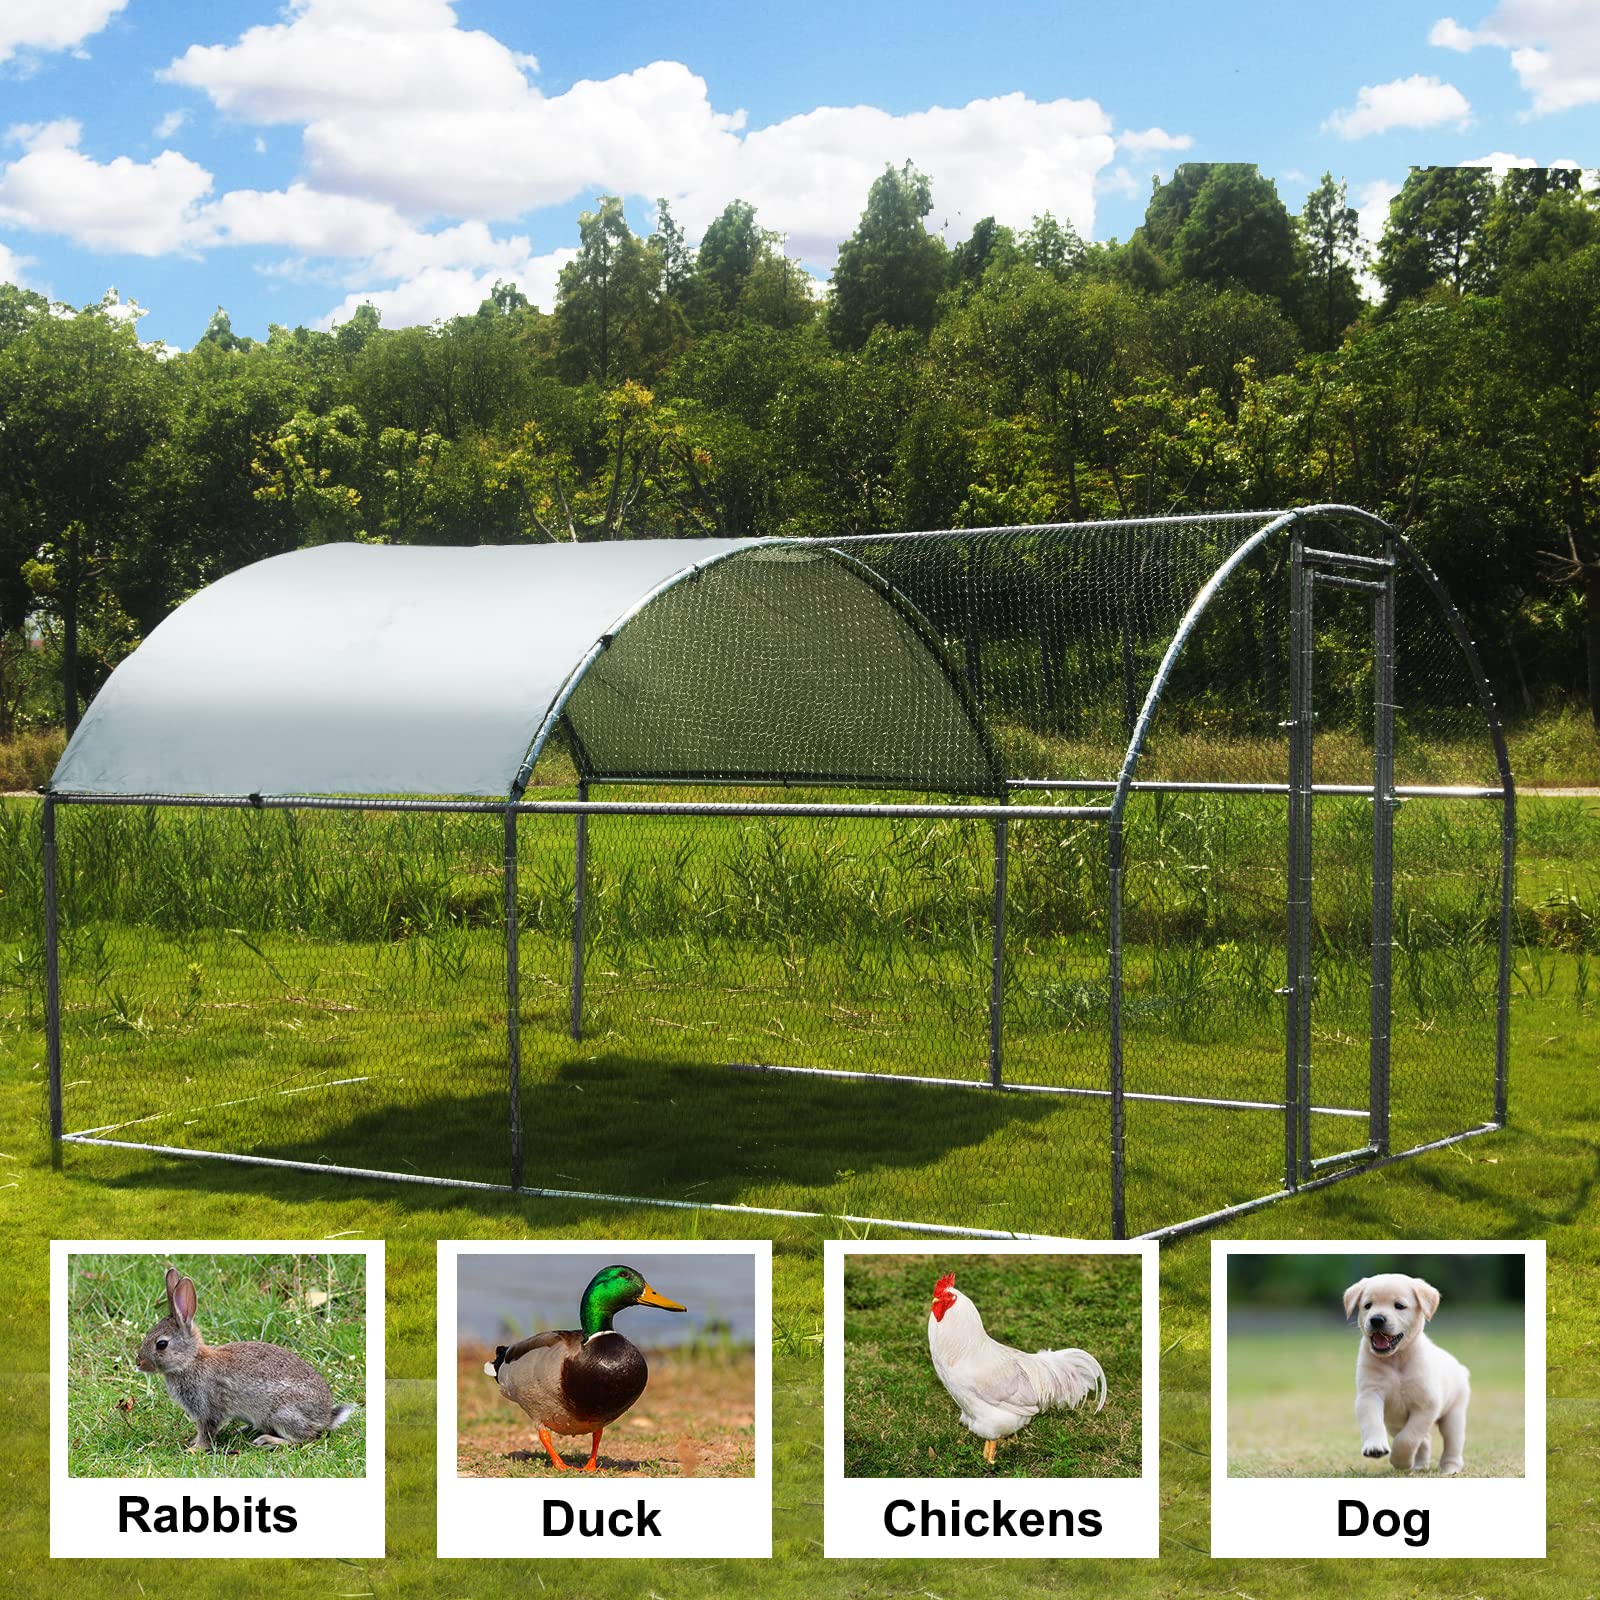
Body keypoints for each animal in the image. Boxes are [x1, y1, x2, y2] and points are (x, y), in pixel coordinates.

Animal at [136, 1267, 358, 1452]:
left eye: (161, 1344)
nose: (139, 1363)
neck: (191, 1361)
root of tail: (326, 1416)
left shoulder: (208, 1409)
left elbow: (207, 1431)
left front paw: (194, 1449)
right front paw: (192, 1444)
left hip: (283, 1413)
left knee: (305, 1437)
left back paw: (267, 1440)